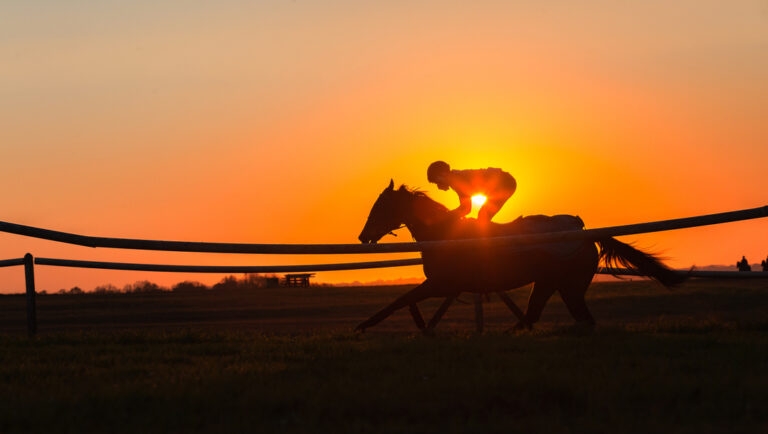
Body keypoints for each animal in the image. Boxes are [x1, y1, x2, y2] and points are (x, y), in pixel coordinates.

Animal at [355, 180, 686, 332]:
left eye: (381, 206)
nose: (362, 236)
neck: (443, 233)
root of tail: (583, 232)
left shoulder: (442, 285)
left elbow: (400, 300)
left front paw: (364, 325)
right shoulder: (445, 287)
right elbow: (405, 301)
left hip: (566, 286)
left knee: (571, 318)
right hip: (551, 284)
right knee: (542, 315)